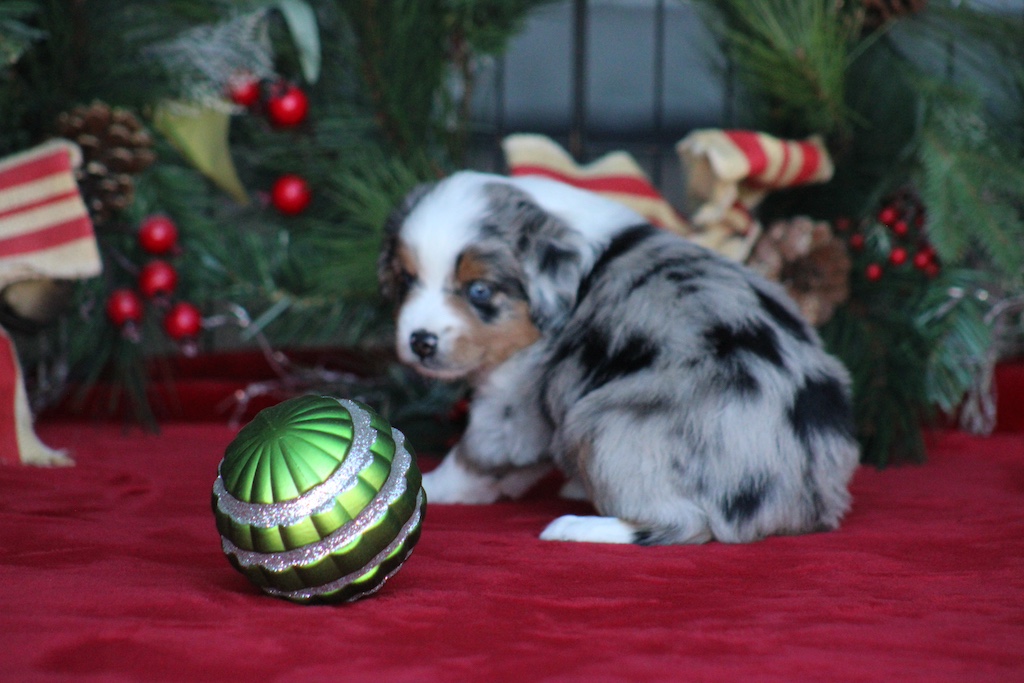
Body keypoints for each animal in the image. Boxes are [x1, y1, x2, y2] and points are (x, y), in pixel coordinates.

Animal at [378, 170, 859, 545]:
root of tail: (800, 499)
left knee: (687, 524)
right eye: (406, 279)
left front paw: (430, 485)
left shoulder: (514, 399)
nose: (420, 341)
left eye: (479, 290)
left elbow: (478, 455)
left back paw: (577, 526)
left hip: (603, 422)